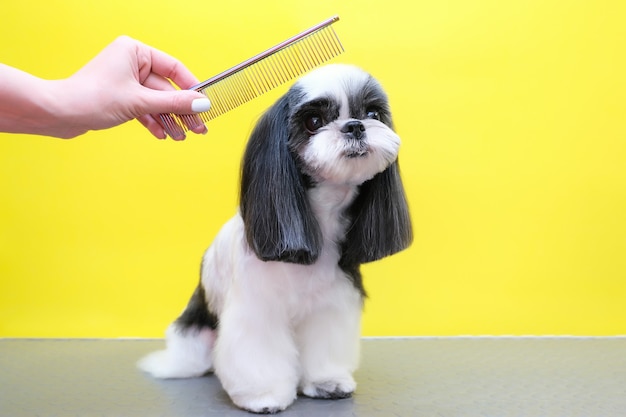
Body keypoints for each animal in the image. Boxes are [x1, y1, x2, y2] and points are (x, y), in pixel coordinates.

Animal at [138, 63, 410, 412]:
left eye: (373, 113)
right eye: (313, 121)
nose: (355, 126)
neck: (318, 221)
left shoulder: (331, 302)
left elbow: (324, 344)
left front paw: (326, 382)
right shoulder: (257, 308)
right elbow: (258, 353)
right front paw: (263, 396)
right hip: (195, 339)